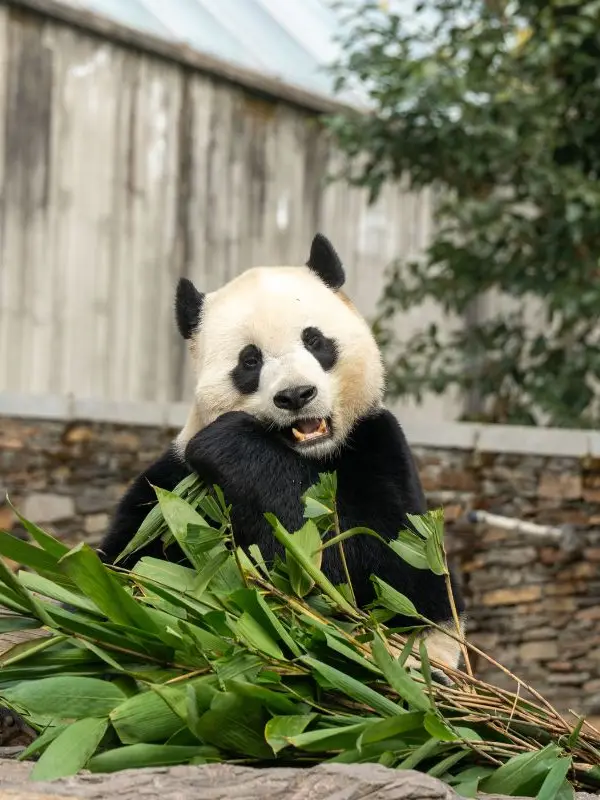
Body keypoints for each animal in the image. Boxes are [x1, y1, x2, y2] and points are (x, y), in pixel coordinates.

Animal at [98, 233, 465, 672]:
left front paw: (231, 443)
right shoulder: (170, 488)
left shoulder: (379, 449)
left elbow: (381, 575)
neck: (306, 457)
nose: (295, 395)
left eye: (315, 340)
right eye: (250, 360)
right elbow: (128, 568)